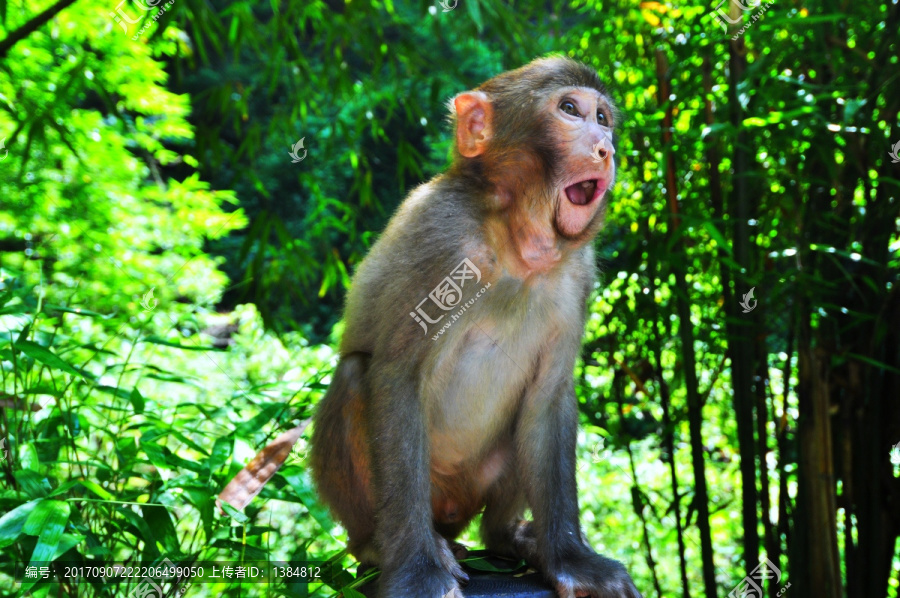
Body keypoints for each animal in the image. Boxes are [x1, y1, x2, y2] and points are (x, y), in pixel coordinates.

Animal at [310, 57, 640, 598]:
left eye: (603, 118)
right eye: (570, 110)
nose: (605, 148)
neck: (518, 245)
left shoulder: (579, 273)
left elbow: (548, 397)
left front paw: (571, 559)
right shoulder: (440, 236)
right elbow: (396, 377)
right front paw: (417, 572)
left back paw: (510, 537)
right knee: (357, 376)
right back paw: (381, 547)